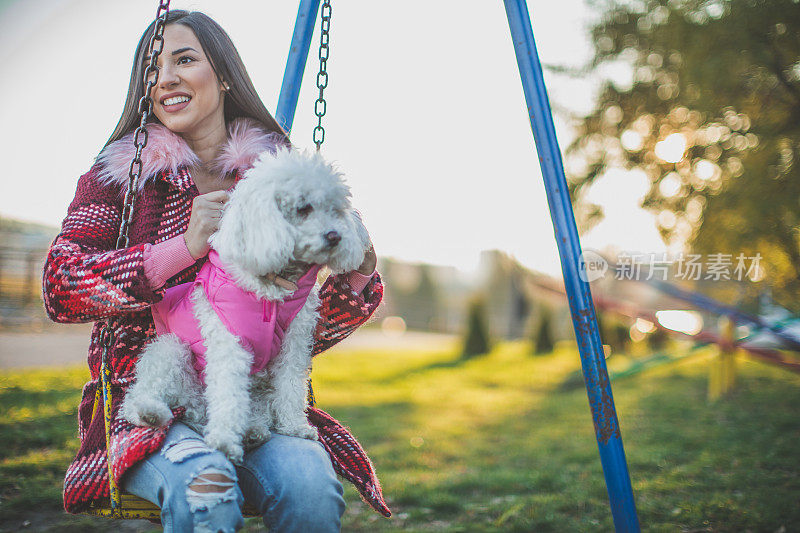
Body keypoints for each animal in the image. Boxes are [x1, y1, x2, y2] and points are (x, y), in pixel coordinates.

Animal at [122, 147, 372, 462]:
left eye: (336, 210)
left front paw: (295, 426)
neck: (272, 288)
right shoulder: (230, 342)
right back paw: (151, 412)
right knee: (140, 396)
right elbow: (229, 391)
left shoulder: (294, 343)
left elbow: (291, 387)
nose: (335, 236)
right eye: (303, 208)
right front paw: (224, 440)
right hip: (171, 350)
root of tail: (197, 408)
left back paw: (253, 431)